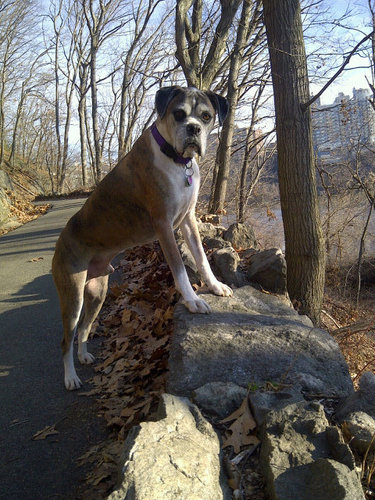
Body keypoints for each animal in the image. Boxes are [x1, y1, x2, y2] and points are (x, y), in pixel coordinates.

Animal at [53, 87, 232, 390]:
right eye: (179, 114)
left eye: (206, 116)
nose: (193, 128)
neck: (175, 160)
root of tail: (61, 240)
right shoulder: (164, 226)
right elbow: (180, 268)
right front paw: (192, 300)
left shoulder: (188, 221)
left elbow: (201, 258)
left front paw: (215, 285)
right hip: (72, 296)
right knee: (66, 339)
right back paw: (69, 377)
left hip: (97, 293)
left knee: (85, 328)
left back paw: (84, 356)